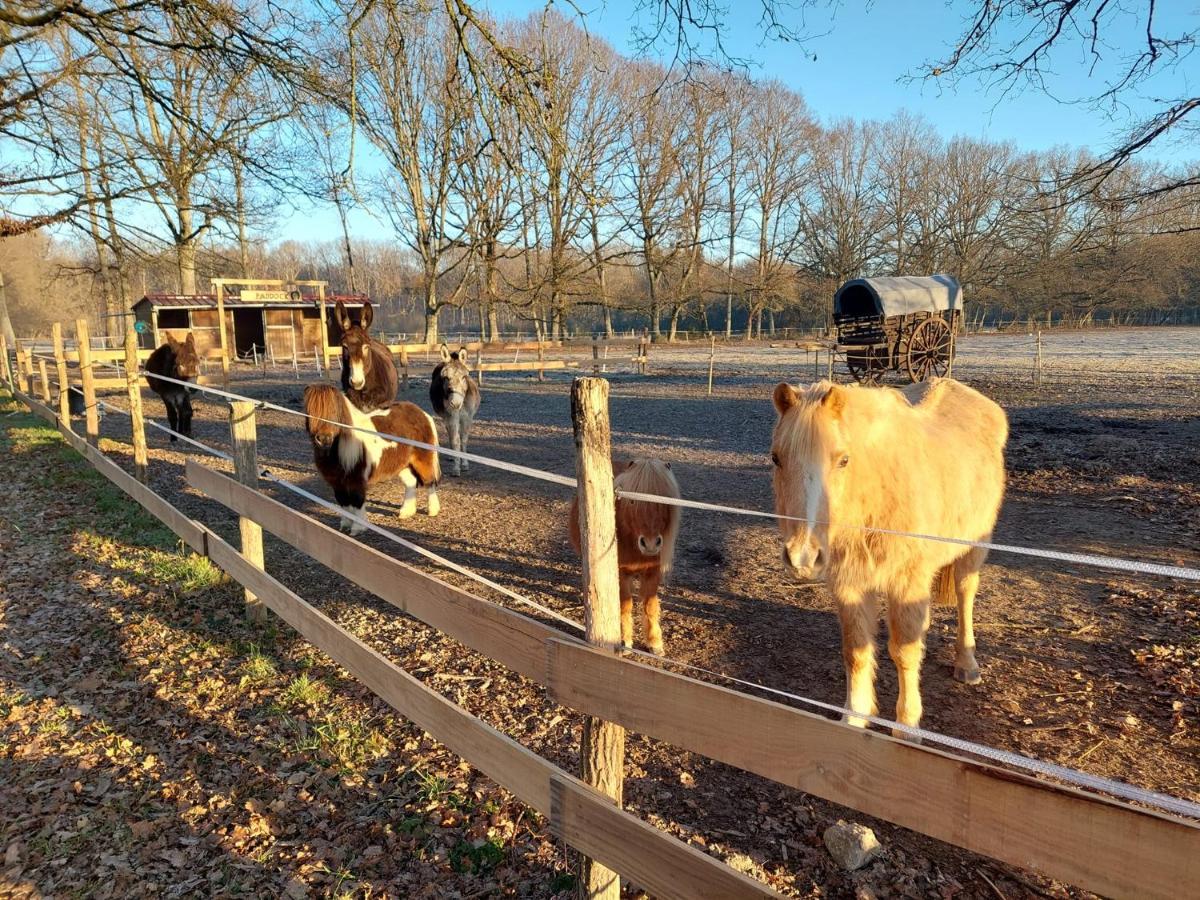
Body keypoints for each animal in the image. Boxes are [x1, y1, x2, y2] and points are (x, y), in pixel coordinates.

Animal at [304, 381, 441, 535]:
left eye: (334, 412)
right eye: (309, 411)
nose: (323, 439)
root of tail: (421, 413)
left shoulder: (356, 480)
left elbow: (357, 501)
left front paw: (358, 528)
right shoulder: (337, 482)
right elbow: (343, 502)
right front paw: (345, 525)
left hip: (422, 460)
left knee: (429, 482)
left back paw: (433, 511)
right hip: (402, 464)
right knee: (410, 483)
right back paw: (406, 512)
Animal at [429, 345, 480, 480]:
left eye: (464, 377)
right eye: (446, 378)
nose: (456, 403)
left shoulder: (467, 417)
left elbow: (464, 439)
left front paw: (465, 464)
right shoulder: (451, 417)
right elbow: (455, 440)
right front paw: (456, 468)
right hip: (446, 417)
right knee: (450, 433)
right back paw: (452, 455)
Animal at [566, 458, 681, 657]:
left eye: (663, 500)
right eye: (633, 501)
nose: (650, 544)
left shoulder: (653, 572)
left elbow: (650, 606)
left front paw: (655, 643)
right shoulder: (619, 573)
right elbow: (624, 605)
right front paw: (623, 641)